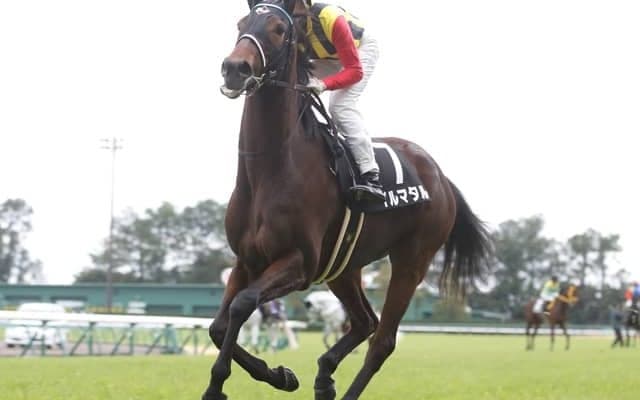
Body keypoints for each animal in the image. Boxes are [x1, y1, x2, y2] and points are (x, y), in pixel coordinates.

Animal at [202, 1, 492, 399]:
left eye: (278, 29)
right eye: (241, 23)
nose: (235, 68)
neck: (269, 171)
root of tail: (441, 177)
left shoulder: (300, 262)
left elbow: (243, 304)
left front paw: (228, 385)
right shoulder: (246, 260)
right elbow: (218, 325)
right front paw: (279, 375)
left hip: (411, 261)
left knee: (382, 340)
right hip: (344, 266)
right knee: (364, 321)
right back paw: (324, 376)